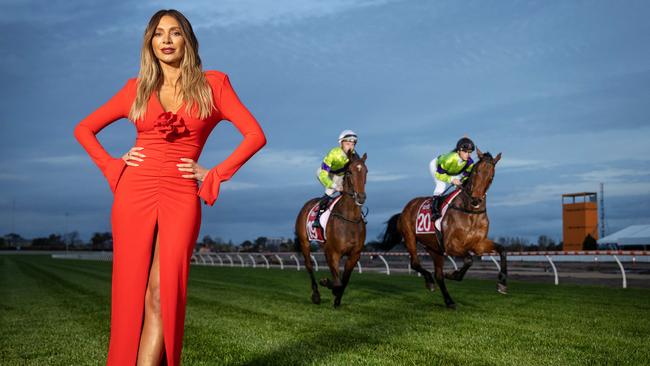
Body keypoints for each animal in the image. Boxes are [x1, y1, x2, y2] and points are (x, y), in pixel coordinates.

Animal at [294, 150, 364, 308]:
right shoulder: (333, 252)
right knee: (309, 266)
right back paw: (316, 294)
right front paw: (326, 283)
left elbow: (344, 281)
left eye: (366, 171)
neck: (349, 218)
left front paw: (337, 299)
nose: (361, 197)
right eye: (349, 172)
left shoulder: (354, 255)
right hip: (304, 242)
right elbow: (337, 282)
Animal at [382, 149, 504, 308]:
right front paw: (453, 274)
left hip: (434, 248)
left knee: (438, 275)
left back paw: (449, 300)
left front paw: (502, 283)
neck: (470, 211)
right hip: (410, 238)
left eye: (492, 176)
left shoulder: (478, 244)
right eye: (476, 171)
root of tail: (404, 210)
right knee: (415, 263)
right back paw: (429, 282)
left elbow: (502, 250)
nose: (476, 200)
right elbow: (469, 260)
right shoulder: (450, 245)